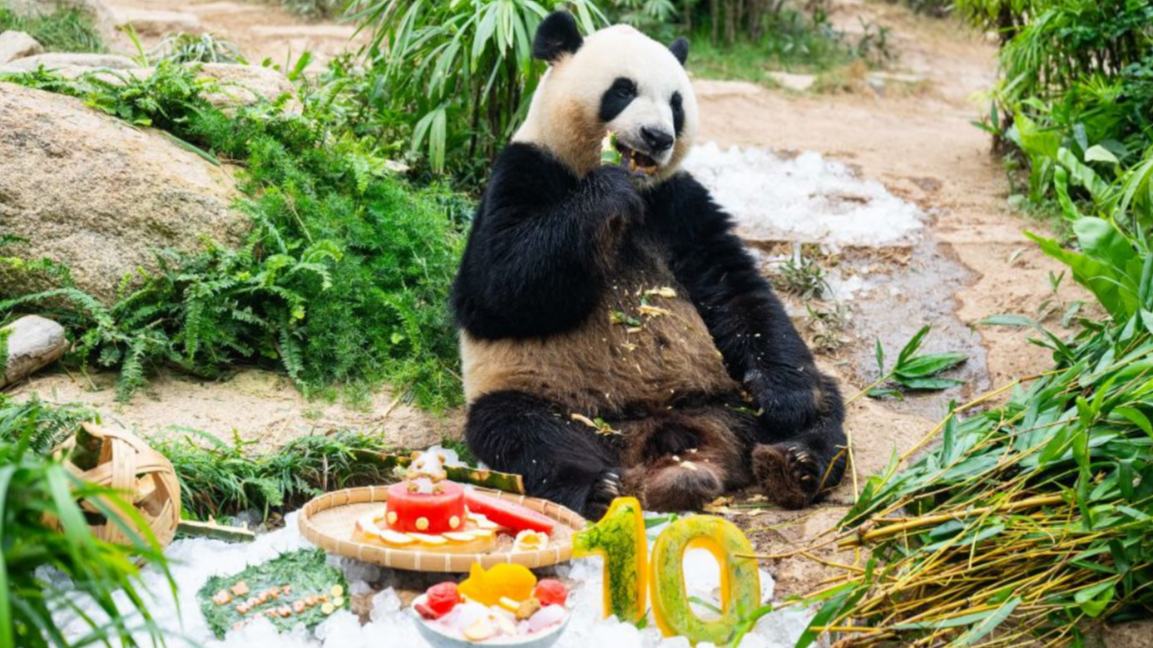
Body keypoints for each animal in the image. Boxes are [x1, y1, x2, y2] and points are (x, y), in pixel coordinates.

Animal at [452, 11, 847, 519]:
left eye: (676, 104)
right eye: (623, 90)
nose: (658, 137)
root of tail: (677, 443)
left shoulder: (678, 204)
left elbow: (737, 290)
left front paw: (785, 400)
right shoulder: (524, 169)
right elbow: (495, 290)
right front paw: (607, 193)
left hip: (726, 394)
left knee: (825, 403)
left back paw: (795, 462)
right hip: (563, 403)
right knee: (523, 432)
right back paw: (601, 489)